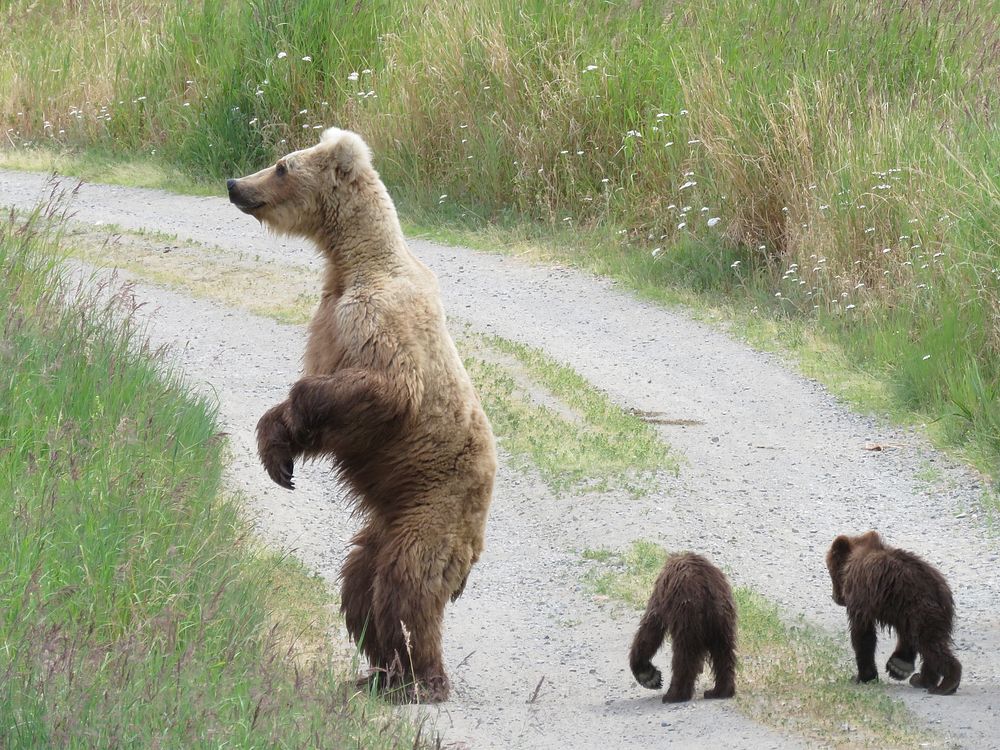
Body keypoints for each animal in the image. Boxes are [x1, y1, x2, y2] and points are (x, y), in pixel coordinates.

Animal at [225, 128, 494, 704]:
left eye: (282, 165)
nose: (235, 183)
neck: (352, 263)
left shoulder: (375, 322)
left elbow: (381, 389)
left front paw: (290, 424)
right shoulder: (327, 318)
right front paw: (277, 457)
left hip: (434, 507)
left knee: (406, 583)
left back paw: (422, 679)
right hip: (387, 521)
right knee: (359, 584)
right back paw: (380, 671)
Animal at [628, 552, 740, 704]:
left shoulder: (662, 593)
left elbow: (651, 627)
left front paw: (648, 676)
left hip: (687, 616)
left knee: (684, 653)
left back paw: (674, 695)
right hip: (722, 620)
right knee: (723, 652)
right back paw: (719, 691)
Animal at [828, 532, 960, 696]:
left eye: (830, 572)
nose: (835, 597)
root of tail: (940, 591)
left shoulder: (861, 593)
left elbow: (863, 634)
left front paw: (862, 677)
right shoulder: (899, 610)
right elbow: (902, 636)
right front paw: (898, 666)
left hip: (922, 612)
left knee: (931, 644)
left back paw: (946, 684)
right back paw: (922, 680)